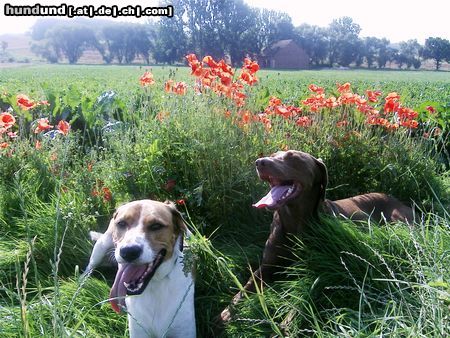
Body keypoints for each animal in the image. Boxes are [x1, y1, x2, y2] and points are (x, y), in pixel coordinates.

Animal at [84, 201, 195, 338]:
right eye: (121, 223)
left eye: (156, 226)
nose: (129, 251)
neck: (154, 284)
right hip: (100, 248)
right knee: (89, 268)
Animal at [220, 150, 414, 322]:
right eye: (273, 155)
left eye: (293, 157)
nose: (260, 162)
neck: (294, 221)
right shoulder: (267, 266)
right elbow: (246, 286)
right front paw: (228, 312)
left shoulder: (319, 270)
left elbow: (304, 294)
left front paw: (287, 323)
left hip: (399, 221)